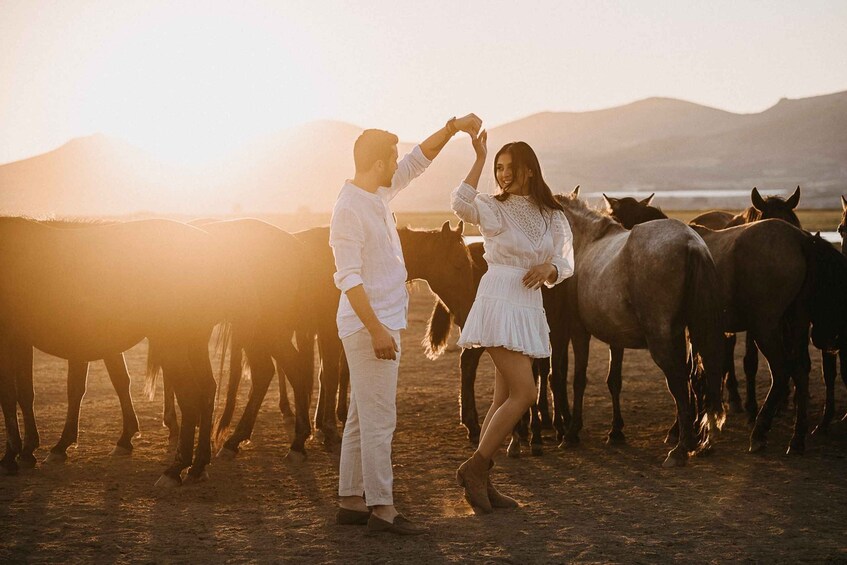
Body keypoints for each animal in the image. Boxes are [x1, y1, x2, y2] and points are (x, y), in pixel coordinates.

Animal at [0, 217, 227, 484]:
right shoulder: (22, 341)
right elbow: (25, 394)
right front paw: (27, 451)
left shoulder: (11, 340)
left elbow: (10, 396)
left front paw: (12, 456)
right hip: (193, 342)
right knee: (207, 391)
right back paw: (198, 465)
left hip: (172, 342)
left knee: (190, 396)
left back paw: (175, 469)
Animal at [556, 187, 724, 464]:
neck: (586, 242)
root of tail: (691, 243)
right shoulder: (615, 337)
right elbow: (614, 380)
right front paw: (615, 431)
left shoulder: (579, 330)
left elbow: (579, 379)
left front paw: (572, 433)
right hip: (687, 334)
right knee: (702, 375)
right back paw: (701, 441)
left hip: (662, 340)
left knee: (678, 380)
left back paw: (681, 447)